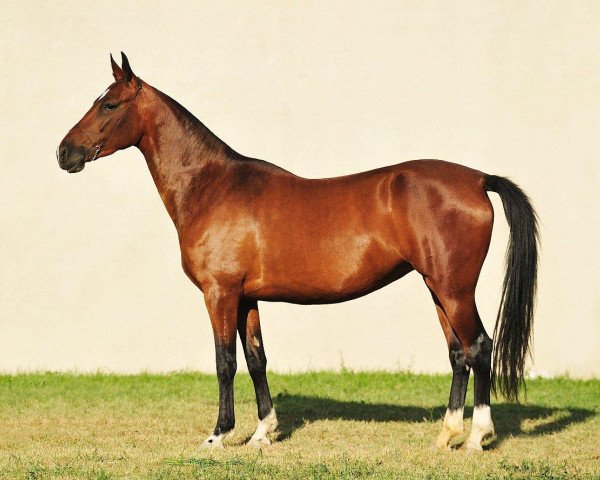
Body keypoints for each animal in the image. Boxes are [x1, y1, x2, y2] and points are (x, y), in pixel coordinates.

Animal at [57, 54, 540, 452]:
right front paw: (262, 433)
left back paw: (477, 437)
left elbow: (225, 362)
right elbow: (256, 360)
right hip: (438, 288)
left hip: (455, 289)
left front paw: (218, 436)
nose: (64, 152)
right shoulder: (246, 298)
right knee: (458, 354)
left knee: (479, 347)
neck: (212, 186)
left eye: (109, 105)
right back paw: (447, 435)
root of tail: (477, 179)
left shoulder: (219, 294)